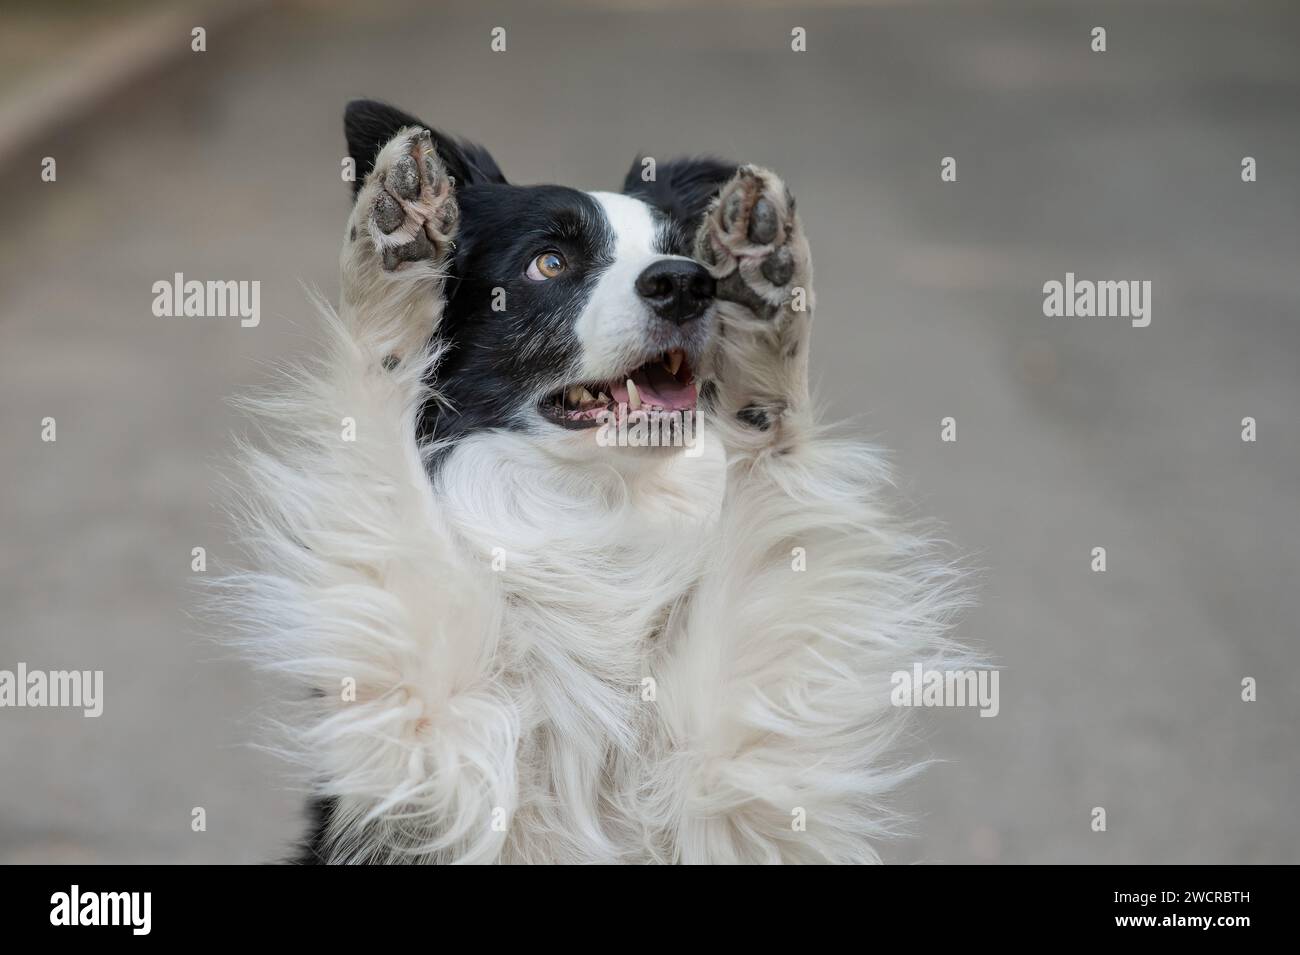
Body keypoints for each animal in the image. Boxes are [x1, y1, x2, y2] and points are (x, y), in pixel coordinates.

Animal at [231, 100, 967, 862]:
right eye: (549, 262)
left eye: (689, 257)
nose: (687, 284)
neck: (595, 499)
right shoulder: (434, 752)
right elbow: (385, 428)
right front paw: (394, 244)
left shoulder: (730, 774)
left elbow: (764, 515)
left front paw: (764, 291)